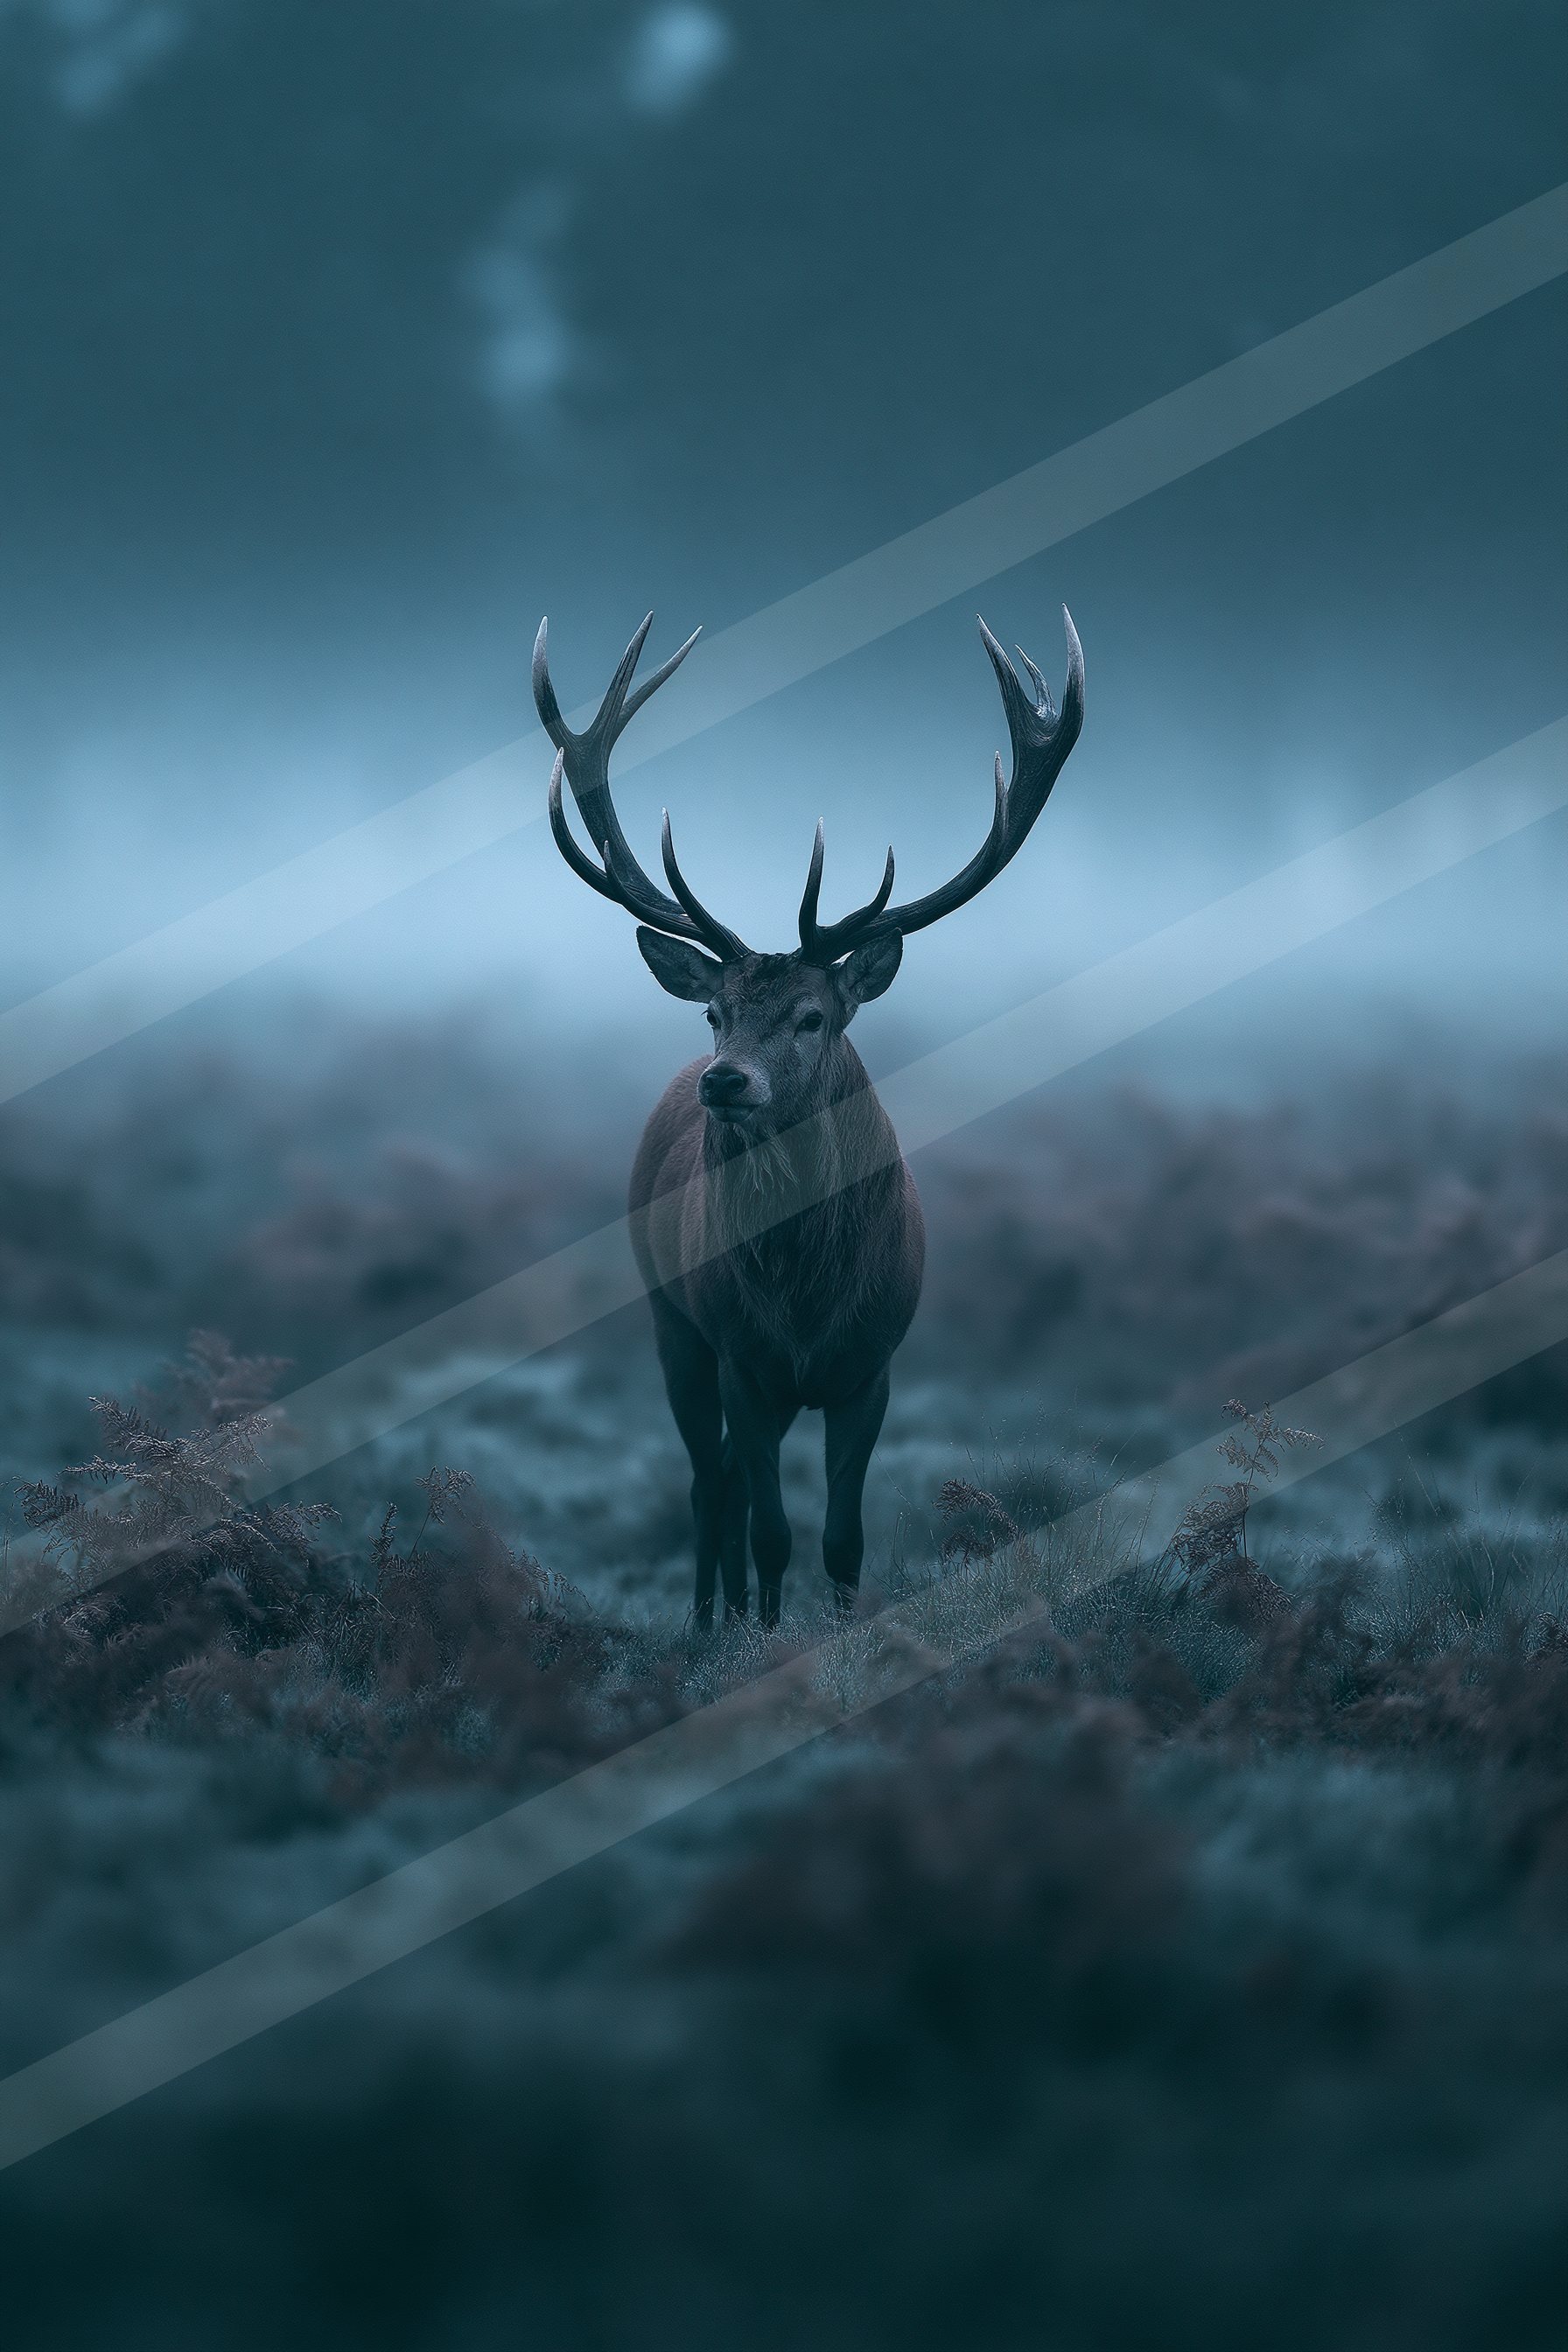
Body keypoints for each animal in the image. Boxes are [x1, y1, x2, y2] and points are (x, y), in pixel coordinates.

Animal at [533, 602, 1084, 1630]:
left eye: (812, 1016)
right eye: (714, 1012)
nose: (725, 1082)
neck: (806, 1299)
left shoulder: (871, 1366)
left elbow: (841, 1538)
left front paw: (841, 1631)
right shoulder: (744, 1360)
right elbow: (771, 1529)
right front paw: (760, 1633)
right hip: (671, 1318)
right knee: (708, 1482)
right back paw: (706, 1620)